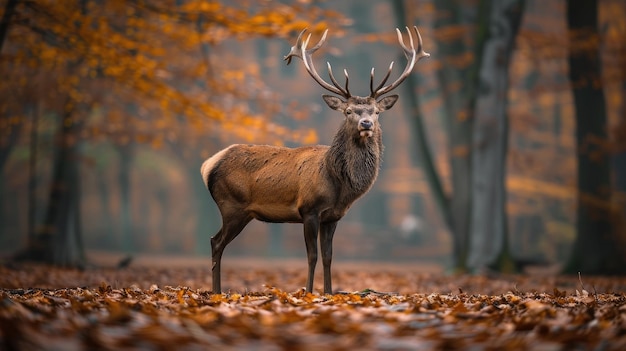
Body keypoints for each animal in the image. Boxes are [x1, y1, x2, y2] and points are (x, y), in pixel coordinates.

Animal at [202, 26, 426, 294]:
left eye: (376, 112)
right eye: (348, 111)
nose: (366, 124)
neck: (339, 186)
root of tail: (208, 164)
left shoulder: (333, 217)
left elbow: (328, 256)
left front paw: (328, 293)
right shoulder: (308, 209)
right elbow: (312, 256)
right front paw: (309, 292)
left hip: (239, 211)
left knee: (216, 241)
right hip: (232, 206)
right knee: (216, 242)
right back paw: (216, 291)